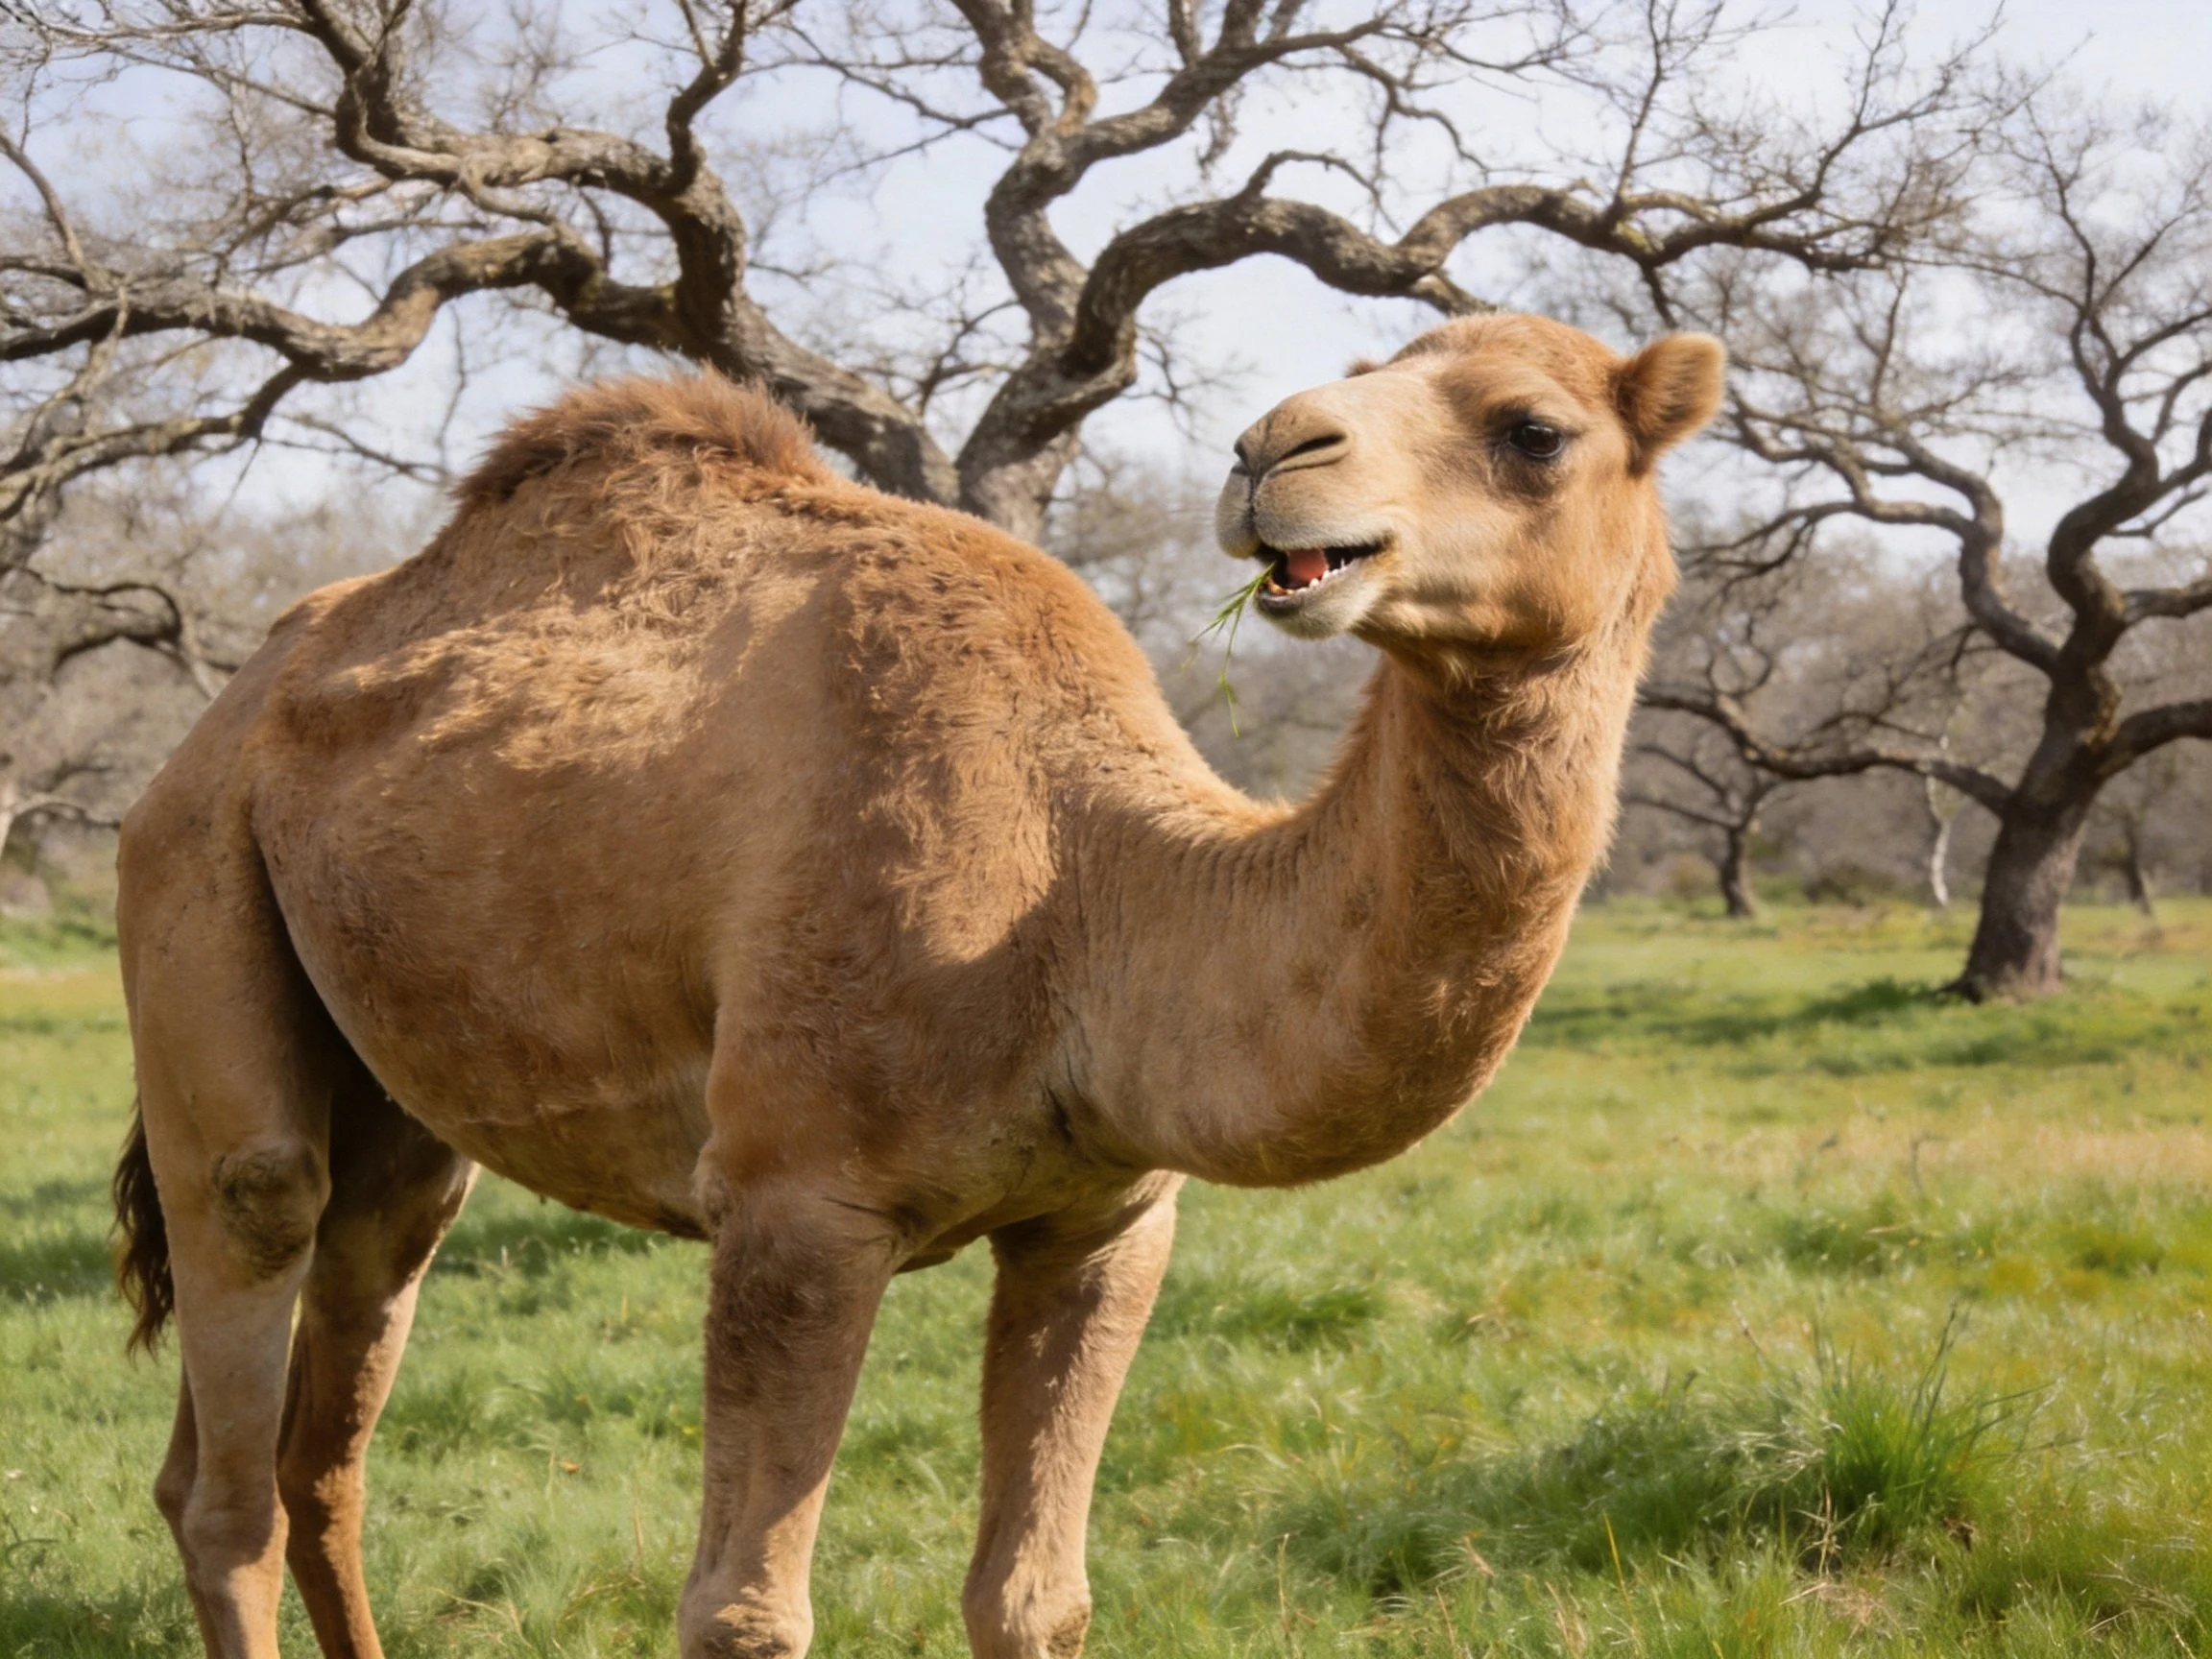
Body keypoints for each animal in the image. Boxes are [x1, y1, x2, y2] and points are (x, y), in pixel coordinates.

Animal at [111, 311, 1722, 1658]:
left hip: (396, 1092)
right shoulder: (795, 1198)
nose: (1276, 450)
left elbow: (1034, 1598)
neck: (1083, 897)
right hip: (192, 880)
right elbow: (743, 1613)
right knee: (243, 1346)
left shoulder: (1105, 1216)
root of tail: (224, 714)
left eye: (1534, 430)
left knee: (319, 1414)